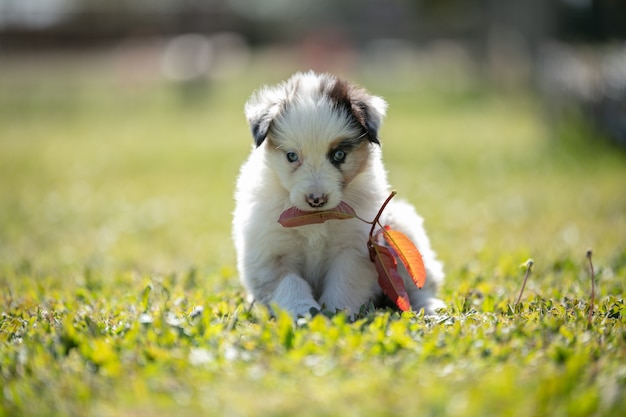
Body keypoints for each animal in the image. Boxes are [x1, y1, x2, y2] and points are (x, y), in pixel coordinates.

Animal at [233, 71, 444, 316]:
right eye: (291, 156)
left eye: (339, 155)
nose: (316, 200)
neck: (315, 219)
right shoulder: (270, 250)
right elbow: (289, 283)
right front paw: (302, 311)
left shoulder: (352, 249)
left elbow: (343, 283)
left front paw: (336, 313)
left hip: (403, 230)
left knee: (419, 287)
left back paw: (432, 308)